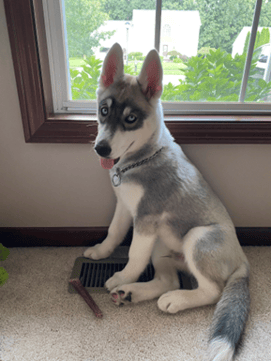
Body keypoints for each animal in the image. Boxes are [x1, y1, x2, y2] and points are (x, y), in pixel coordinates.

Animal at [84, 43, 251, 360]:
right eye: (103, 110)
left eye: (131, 119)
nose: (101, 148)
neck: (140, 160)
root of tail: (243, 260)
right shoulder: (125, 207)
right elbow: (114, 233)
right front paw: (101, 252)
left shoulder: (146, 219)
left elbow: (134, 255)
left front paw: (121, 277)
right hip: (162, 245)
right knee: (168, 279)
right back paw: (134, 293)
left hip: (197, 238)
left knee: (212, 290)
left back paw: (173, 299)